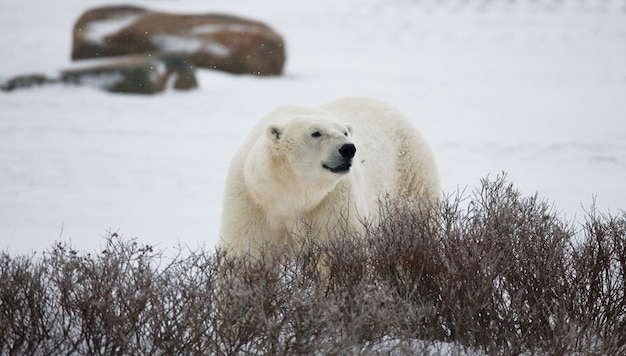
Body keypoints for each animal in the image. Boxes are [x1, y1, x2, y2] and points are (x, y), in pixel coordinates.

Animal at [219, 96, 438, 254]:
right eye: (315, 133)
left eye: (345, 132)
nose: (348, 149)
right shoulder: (251, 200)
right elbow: (246, 252)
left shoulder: (333, 200)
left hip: (410, 175)